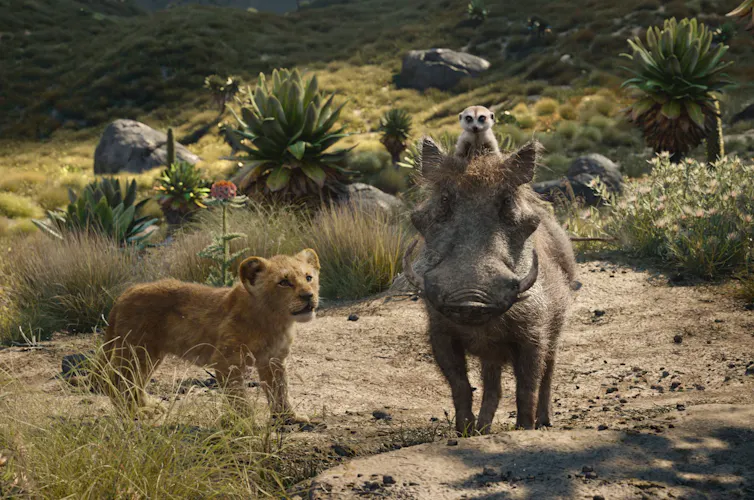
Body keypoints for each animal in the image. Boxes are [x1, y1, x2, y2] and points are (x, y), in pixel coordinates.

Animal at [98, 249, 320, 422]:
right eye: (284, 282)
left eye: (309, 278)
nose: (309, 296)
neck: (276, 321)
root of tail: (124, 294)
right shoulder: (226, 361)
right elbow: (238, 396)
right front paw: (246, 424)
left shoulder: (273, 360)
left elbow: (279, 390)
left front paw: (288, 417)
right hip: (137, 350)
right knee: (118, 380)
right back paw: (136, 413)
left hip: (149, 354)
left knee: (135, 381)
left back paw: (148, 407)